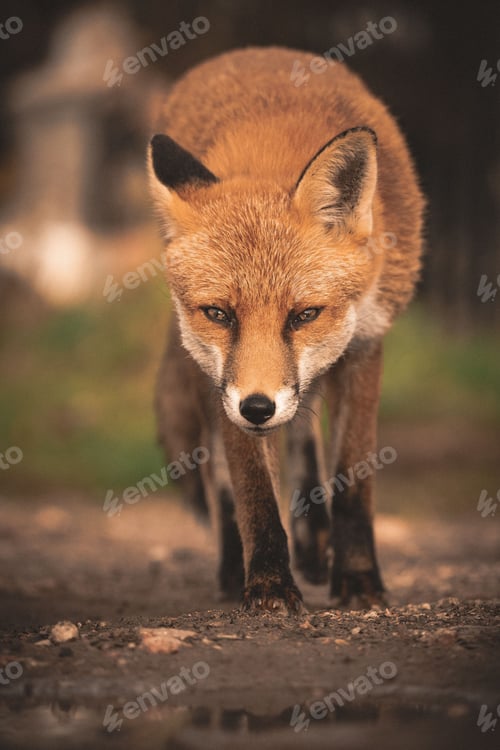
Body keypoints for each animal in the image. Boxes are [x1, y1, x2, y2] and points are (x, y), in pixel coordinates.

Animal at [148, 47, 424, 614]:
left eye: (303, 315)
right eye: (219, 314)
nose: (258, 407)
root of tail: (257, 53)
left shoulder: (365, 344)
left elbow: (351, 478)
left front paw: (359, 580)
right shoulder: (225, 385)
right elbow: (252, 490)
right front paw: (270, 583)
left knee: (303, 432)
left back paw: (316, 543)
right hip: (208, 378)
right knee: (225, 476)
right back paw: (236, 569)